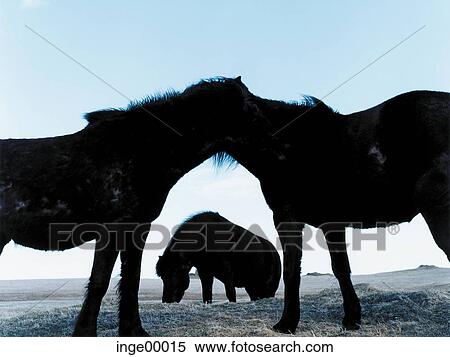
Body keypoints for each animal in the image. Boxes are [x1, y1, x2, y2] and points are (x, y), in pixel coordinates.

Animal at [0, 76, 278, 336]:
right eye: (252, 107)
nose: (275, 136)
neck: (141, 148)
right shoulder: (115, 230)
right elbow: (103, 282)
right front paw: (88, 332)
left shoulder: (134, 229)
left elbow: (128, 281)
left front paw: (130, 329)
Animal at [227, 87, 448, 332]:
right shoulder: (331, 224)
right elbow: (340, 268)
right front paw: (352, 318)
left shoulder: (287, 218)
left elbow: (294, 270)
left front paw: (287, 323)